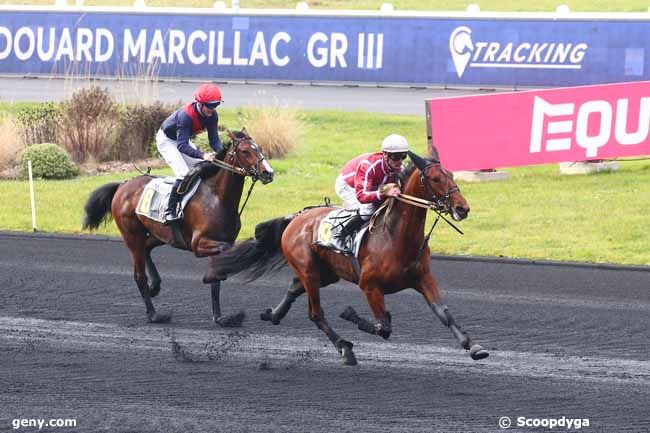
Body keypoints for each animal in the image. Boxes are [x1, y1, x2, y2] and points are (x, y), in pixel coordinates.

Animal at [81, 130, 274, 326]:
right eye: (245, 151)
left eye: (259, 148)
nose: (268, 173)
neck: (217, 198)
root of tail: (123, 185)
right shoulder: (200, 244)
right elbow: (226, 255)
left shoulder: (217, 240)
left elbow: (216, 281)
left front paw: (221, 317)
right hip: (132, 235)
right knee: (139, 274)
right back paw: (154, 314)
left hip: (160, 234)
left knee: (146, 248)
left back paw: (155, 285)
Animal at [210, 148, 488, 364]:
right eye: (434, 178)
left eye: (451, 175)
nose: (462, 208)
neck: (396, 237)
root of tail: (296, 217)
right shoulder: (369, 285)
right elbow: (383, 326)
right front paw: (350, 315)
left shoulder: (423, 278)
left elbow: (443, 313)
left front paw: (473, 346)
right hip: (310, 271)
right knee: (316, 313)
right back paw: (344, 347)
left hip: (326, 273)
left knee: (294, 288)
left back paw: (272, 314)